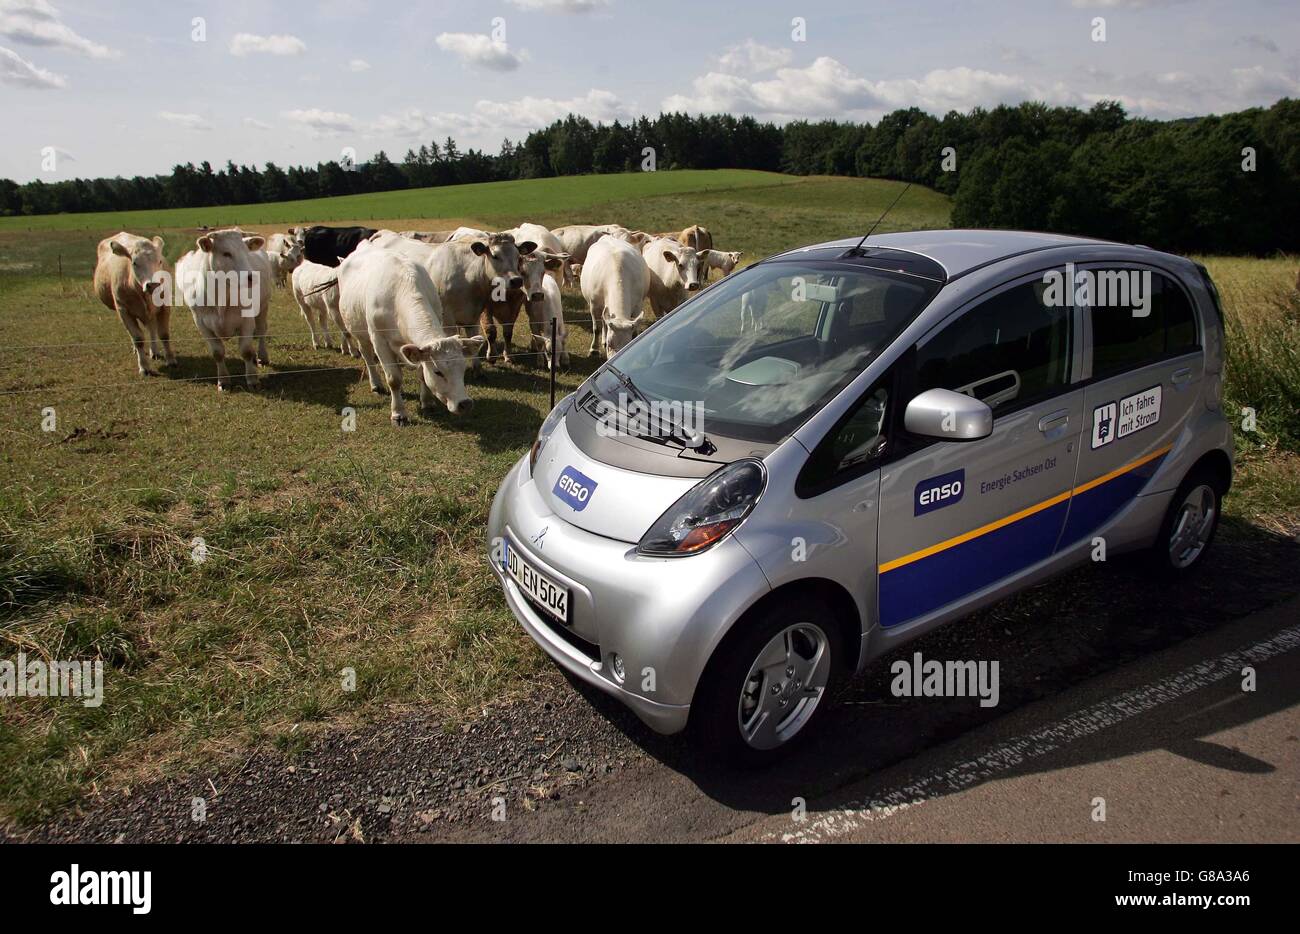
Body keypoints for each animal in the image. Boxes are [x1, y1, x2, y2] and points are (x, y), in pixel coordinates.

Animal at [93, 232, 174, 377]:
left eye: (159, 261)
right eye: (135, 263)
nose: (153, 284)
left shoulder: (165, 306)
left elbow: (164, 334)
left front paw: (170, 360)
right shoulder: (123, 310)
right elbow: (138, 338)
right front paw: (144, 367)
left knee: (151, 327)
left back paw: (155, 351)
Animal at [174, 230, 267, 390]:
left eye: (247, 252)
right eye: (226, 253)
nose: (250, 277)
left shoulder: (247, 320)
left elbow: (246, 351)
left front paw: (252, 379)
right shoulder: (201, 324)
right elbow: (217, 353)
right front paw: (223, 380)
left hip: (263, 306)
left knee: (261, 331)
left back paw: (262, 357)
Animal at [335, 248, 483, 424]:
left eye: (462, 368)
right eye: (438, 372)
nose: (465, 404)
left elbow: (421, 374)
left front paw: (427, 402)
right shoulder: (379, 341)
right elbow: (394, 379)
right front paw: (398, 413)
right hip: (360, 333)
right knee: (368, 357)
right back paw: (376, 384)